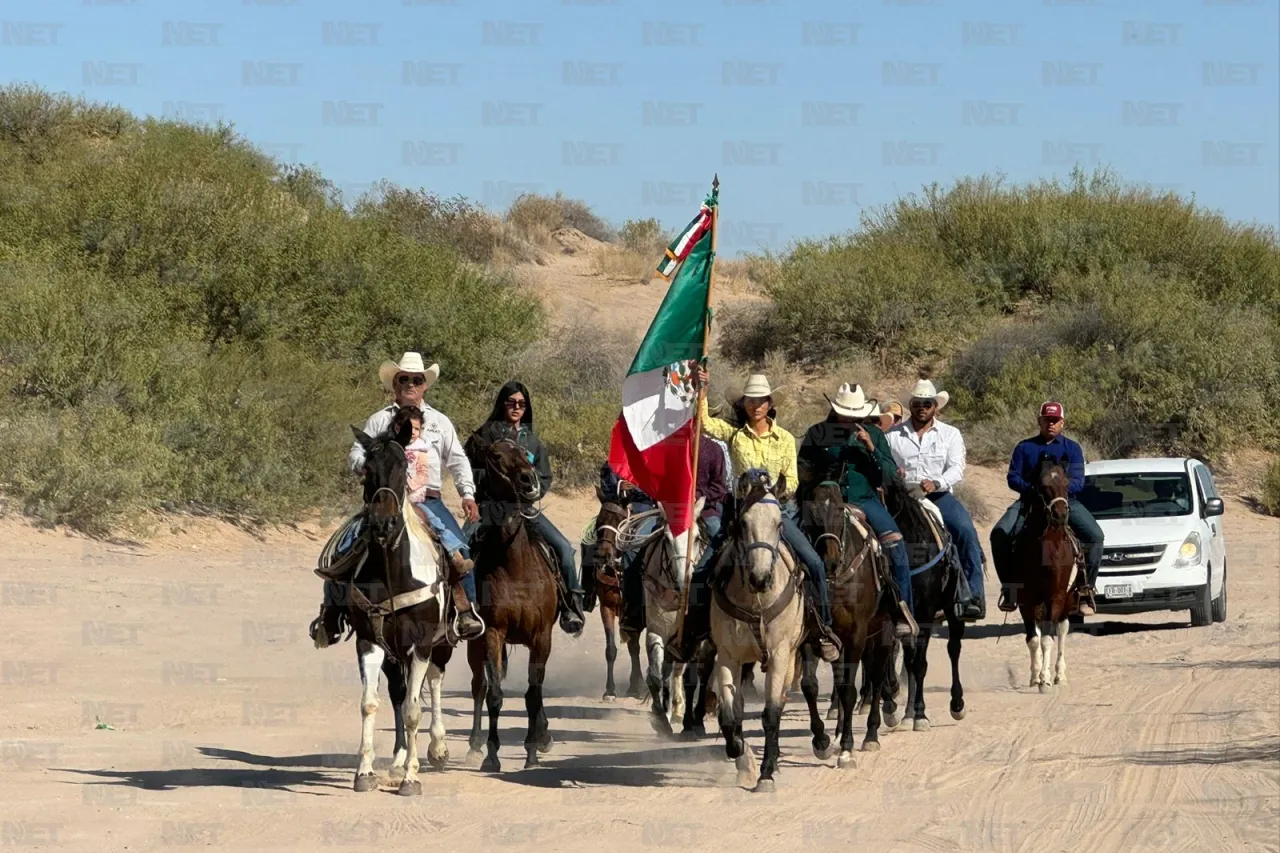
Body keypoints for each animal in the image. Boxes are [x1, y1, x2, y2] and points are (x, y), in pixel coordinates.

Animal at [337, 427, 458, 794]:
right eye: (366, 469)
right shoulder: (369, 641)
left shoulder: (421, 644)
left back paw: (437, 748)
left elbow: (413, 711)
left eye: (403, 466)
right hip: (394, 651)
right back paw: (400, 757)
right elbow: (370, 703)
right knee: (399, 692)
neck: (393, 573)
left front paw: (411, 778)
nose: (383, 525)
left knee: (434, 680)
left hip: (441, 643)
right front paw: (365, 773)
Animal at [463, 435, 558, 768]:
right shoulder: (493, 633)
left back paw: (543, 736)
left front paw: (532, 751)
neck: (515, 566)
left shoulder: (542, 636)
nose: (529, 480)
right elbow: (494, 694)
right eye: (495, 455)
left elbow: (533, 694)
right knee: (478, 686)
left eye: (525, 453)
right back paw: (475, 743)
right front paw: (492, 754)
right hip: (475, 643)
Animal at [711, 468, 808, 788]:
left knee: (779, 702)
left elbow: (771, 714)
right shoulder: (728, 655)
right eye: (742, 523)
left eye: (779, 524)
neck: (755, 602)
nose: (760, 578)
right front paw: (739, 751)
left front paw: (766, 772)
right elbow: (730, 713)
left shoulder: (779, 654)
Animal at [1008, 455, 1080, 686]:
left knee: (1062, 629)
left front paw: (1046, 679)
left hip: (1067, 598)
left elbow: (1048, 638)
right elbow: (1033, 639)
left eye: (1067, 483)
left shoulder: (1055, 596)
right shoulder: (1025, 598)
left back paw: (1059, 674)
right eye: (1042, 485)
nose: (1060, 515)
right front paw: (1035, 676)